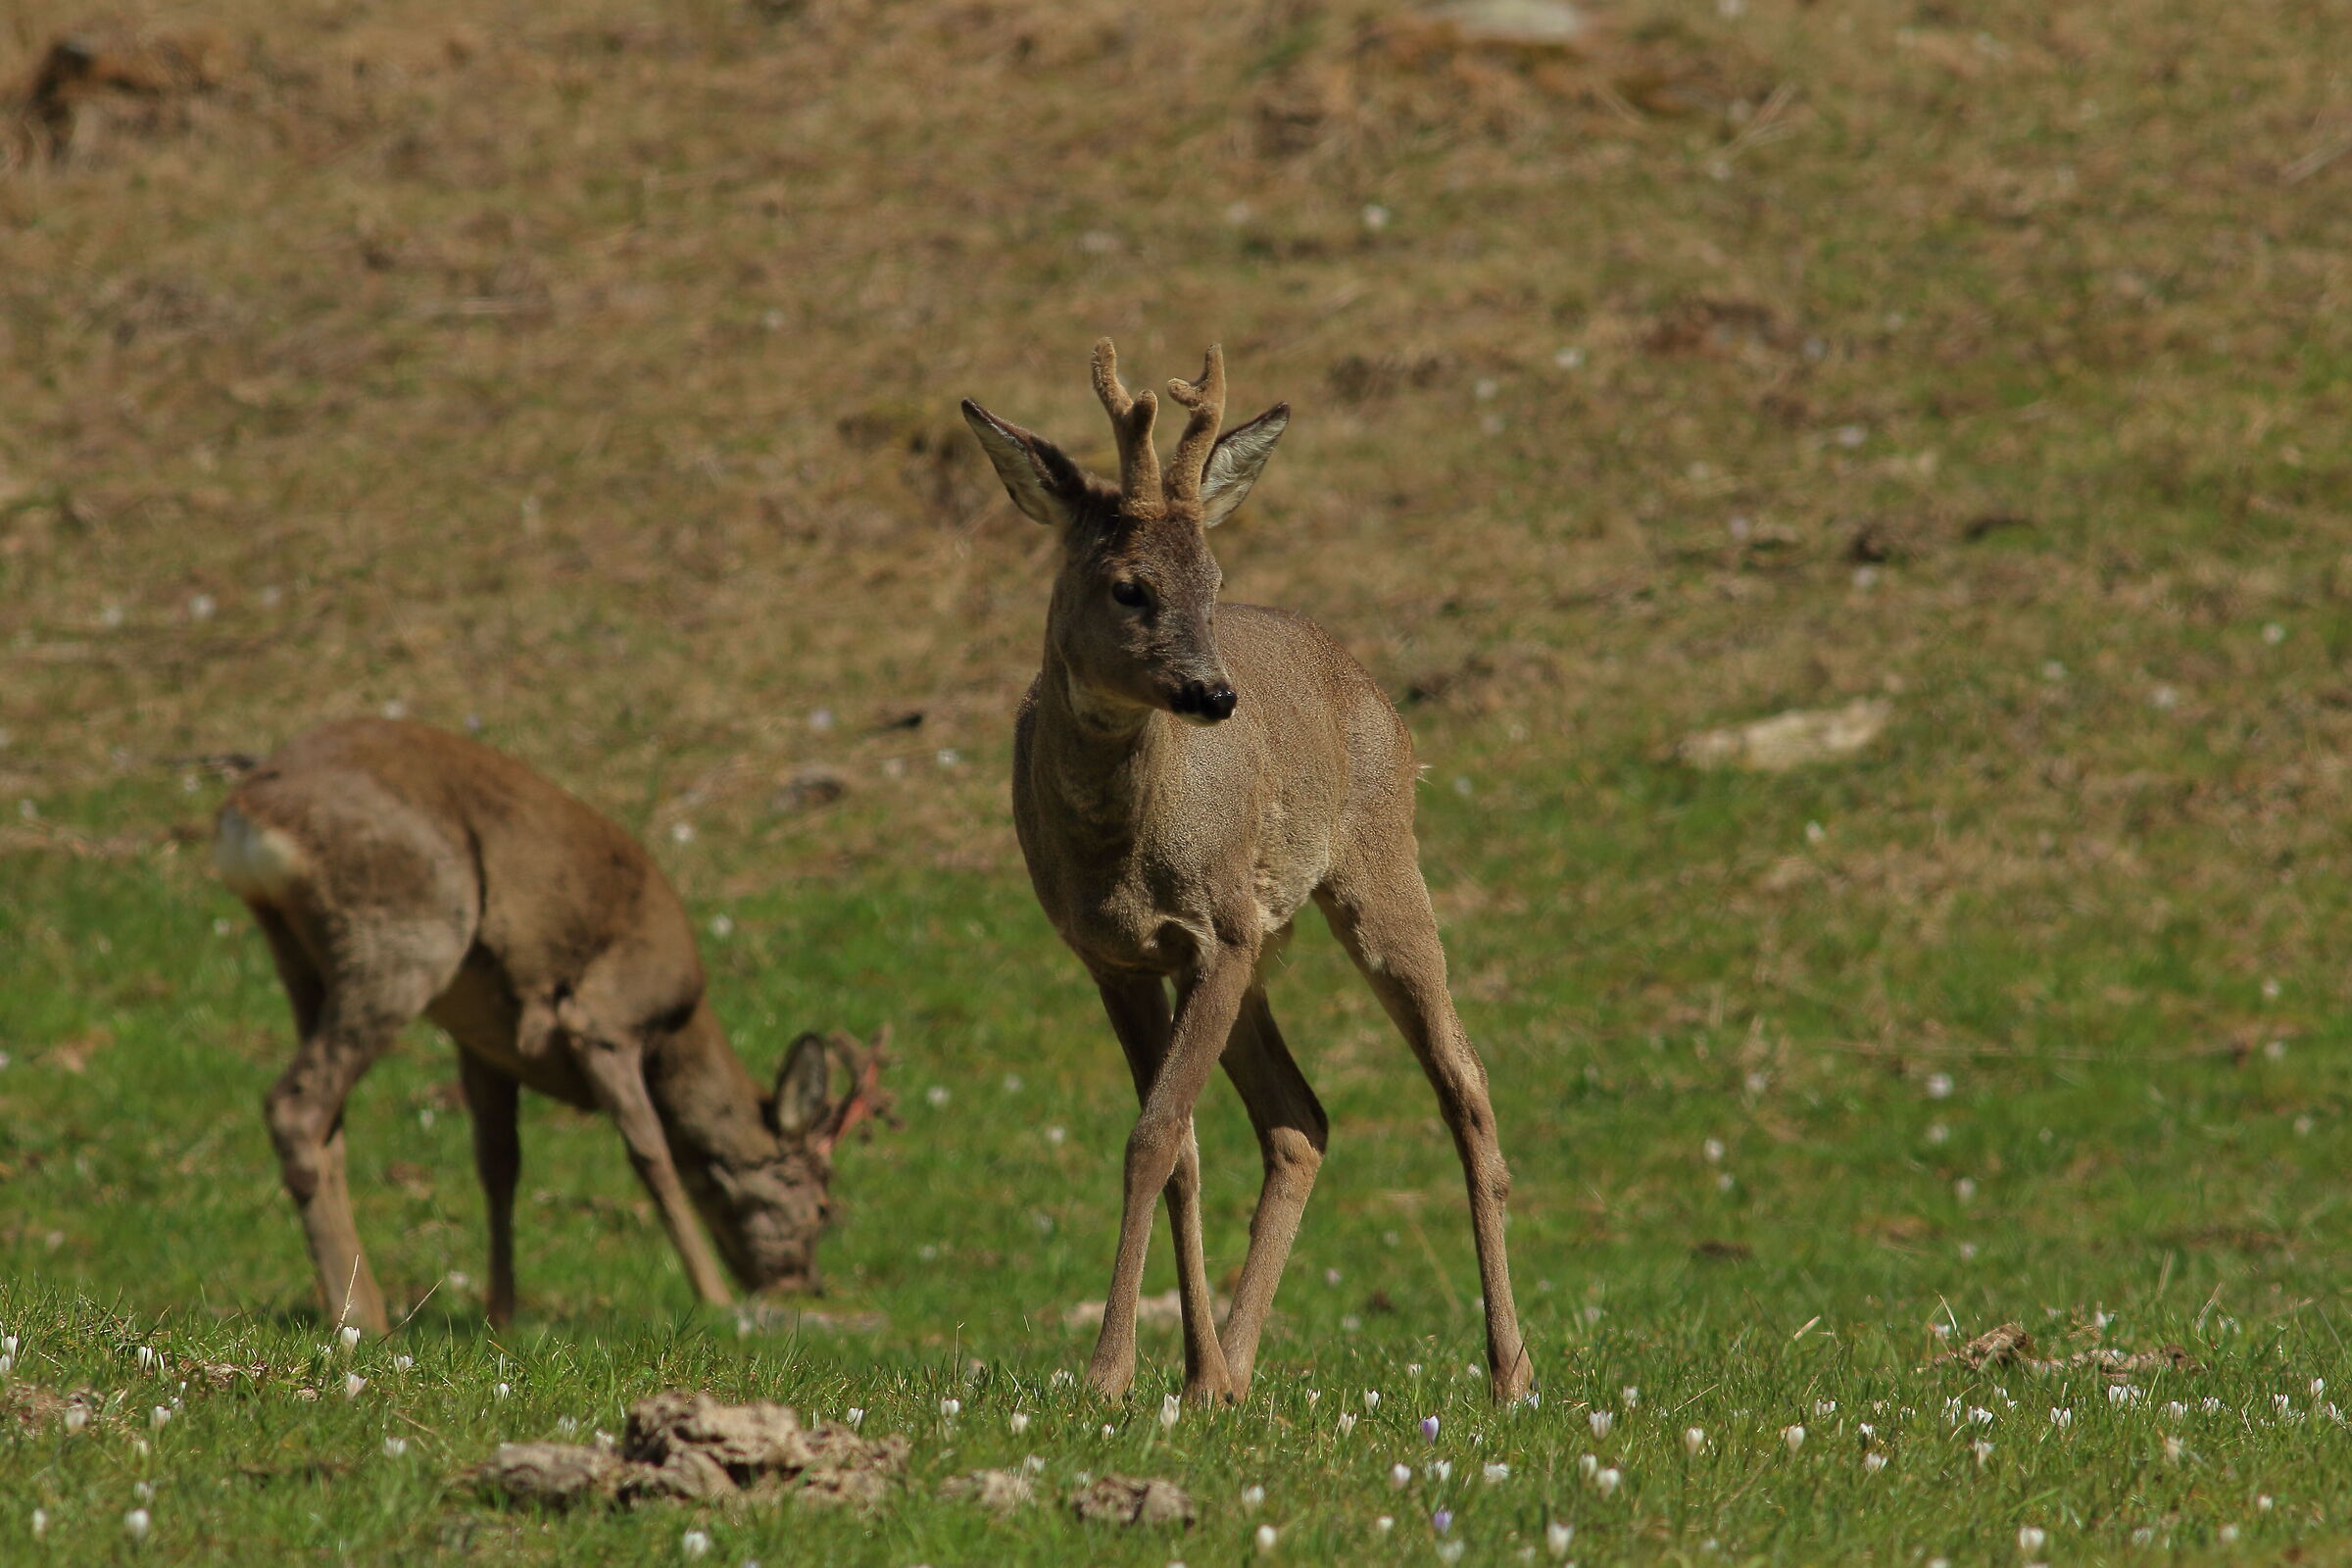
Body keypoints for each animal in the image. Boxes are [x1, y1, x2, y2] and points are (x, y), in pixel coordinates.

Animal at [212, 718, 888, 1335]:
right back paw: (356, 1313)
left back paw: (362, 1305)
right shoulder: (605, 1018)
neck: (676, 1031)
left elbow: (500, 1167)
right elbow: (652, 1155)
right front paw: (714, 1298)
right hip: (403, 937)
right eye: (822, 1205)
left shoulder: (484, 1045)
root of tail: (247, 811)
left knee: (329, 1123)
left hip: (302, 957)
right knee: (296, 1105)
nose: (805, 1282)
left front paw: (503, 1316)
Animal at [960, 341, 1532, 1406]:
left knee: (1463, 1080)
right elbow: (1178, 1146)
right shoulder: (1116, 957)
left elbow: (1152, 1137)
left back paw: (1509, 1369)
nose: (1213, 692)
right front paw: (1180, 1374)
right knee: (1299, 1118)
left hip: (1376, 870)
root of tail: (1369, 685)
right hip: (1263, 939)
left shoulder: (1215, 932)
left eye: (1213, 578)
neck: (1120, 852)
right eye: (1130, 586)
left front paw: (1108, 1372)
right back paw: (1233, 1366)